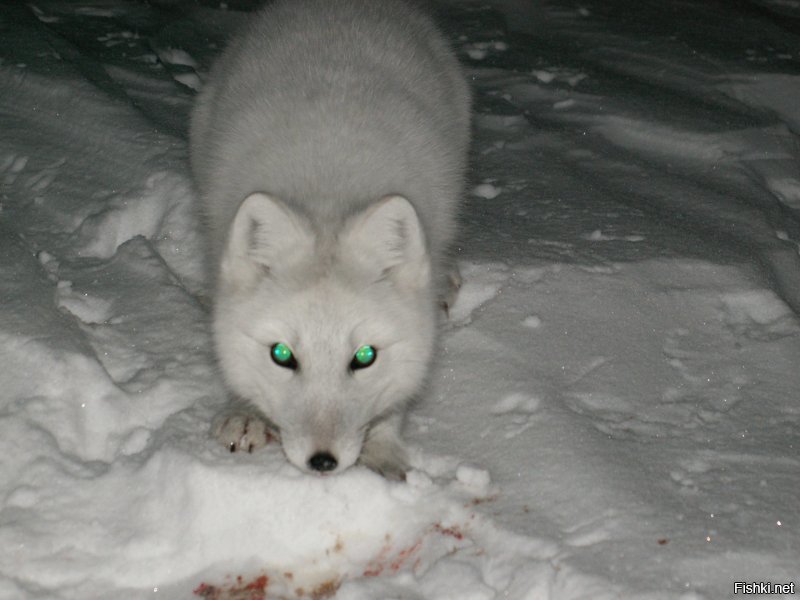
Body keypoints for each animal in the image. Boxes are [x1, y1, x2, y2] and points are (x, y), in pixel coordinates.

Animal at [190, 0, 472, 478]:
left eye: (365, 357)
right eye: (282, 354)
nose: (322, 462)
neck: (328, 194)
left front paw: (382, 450)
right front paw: (246, 411)